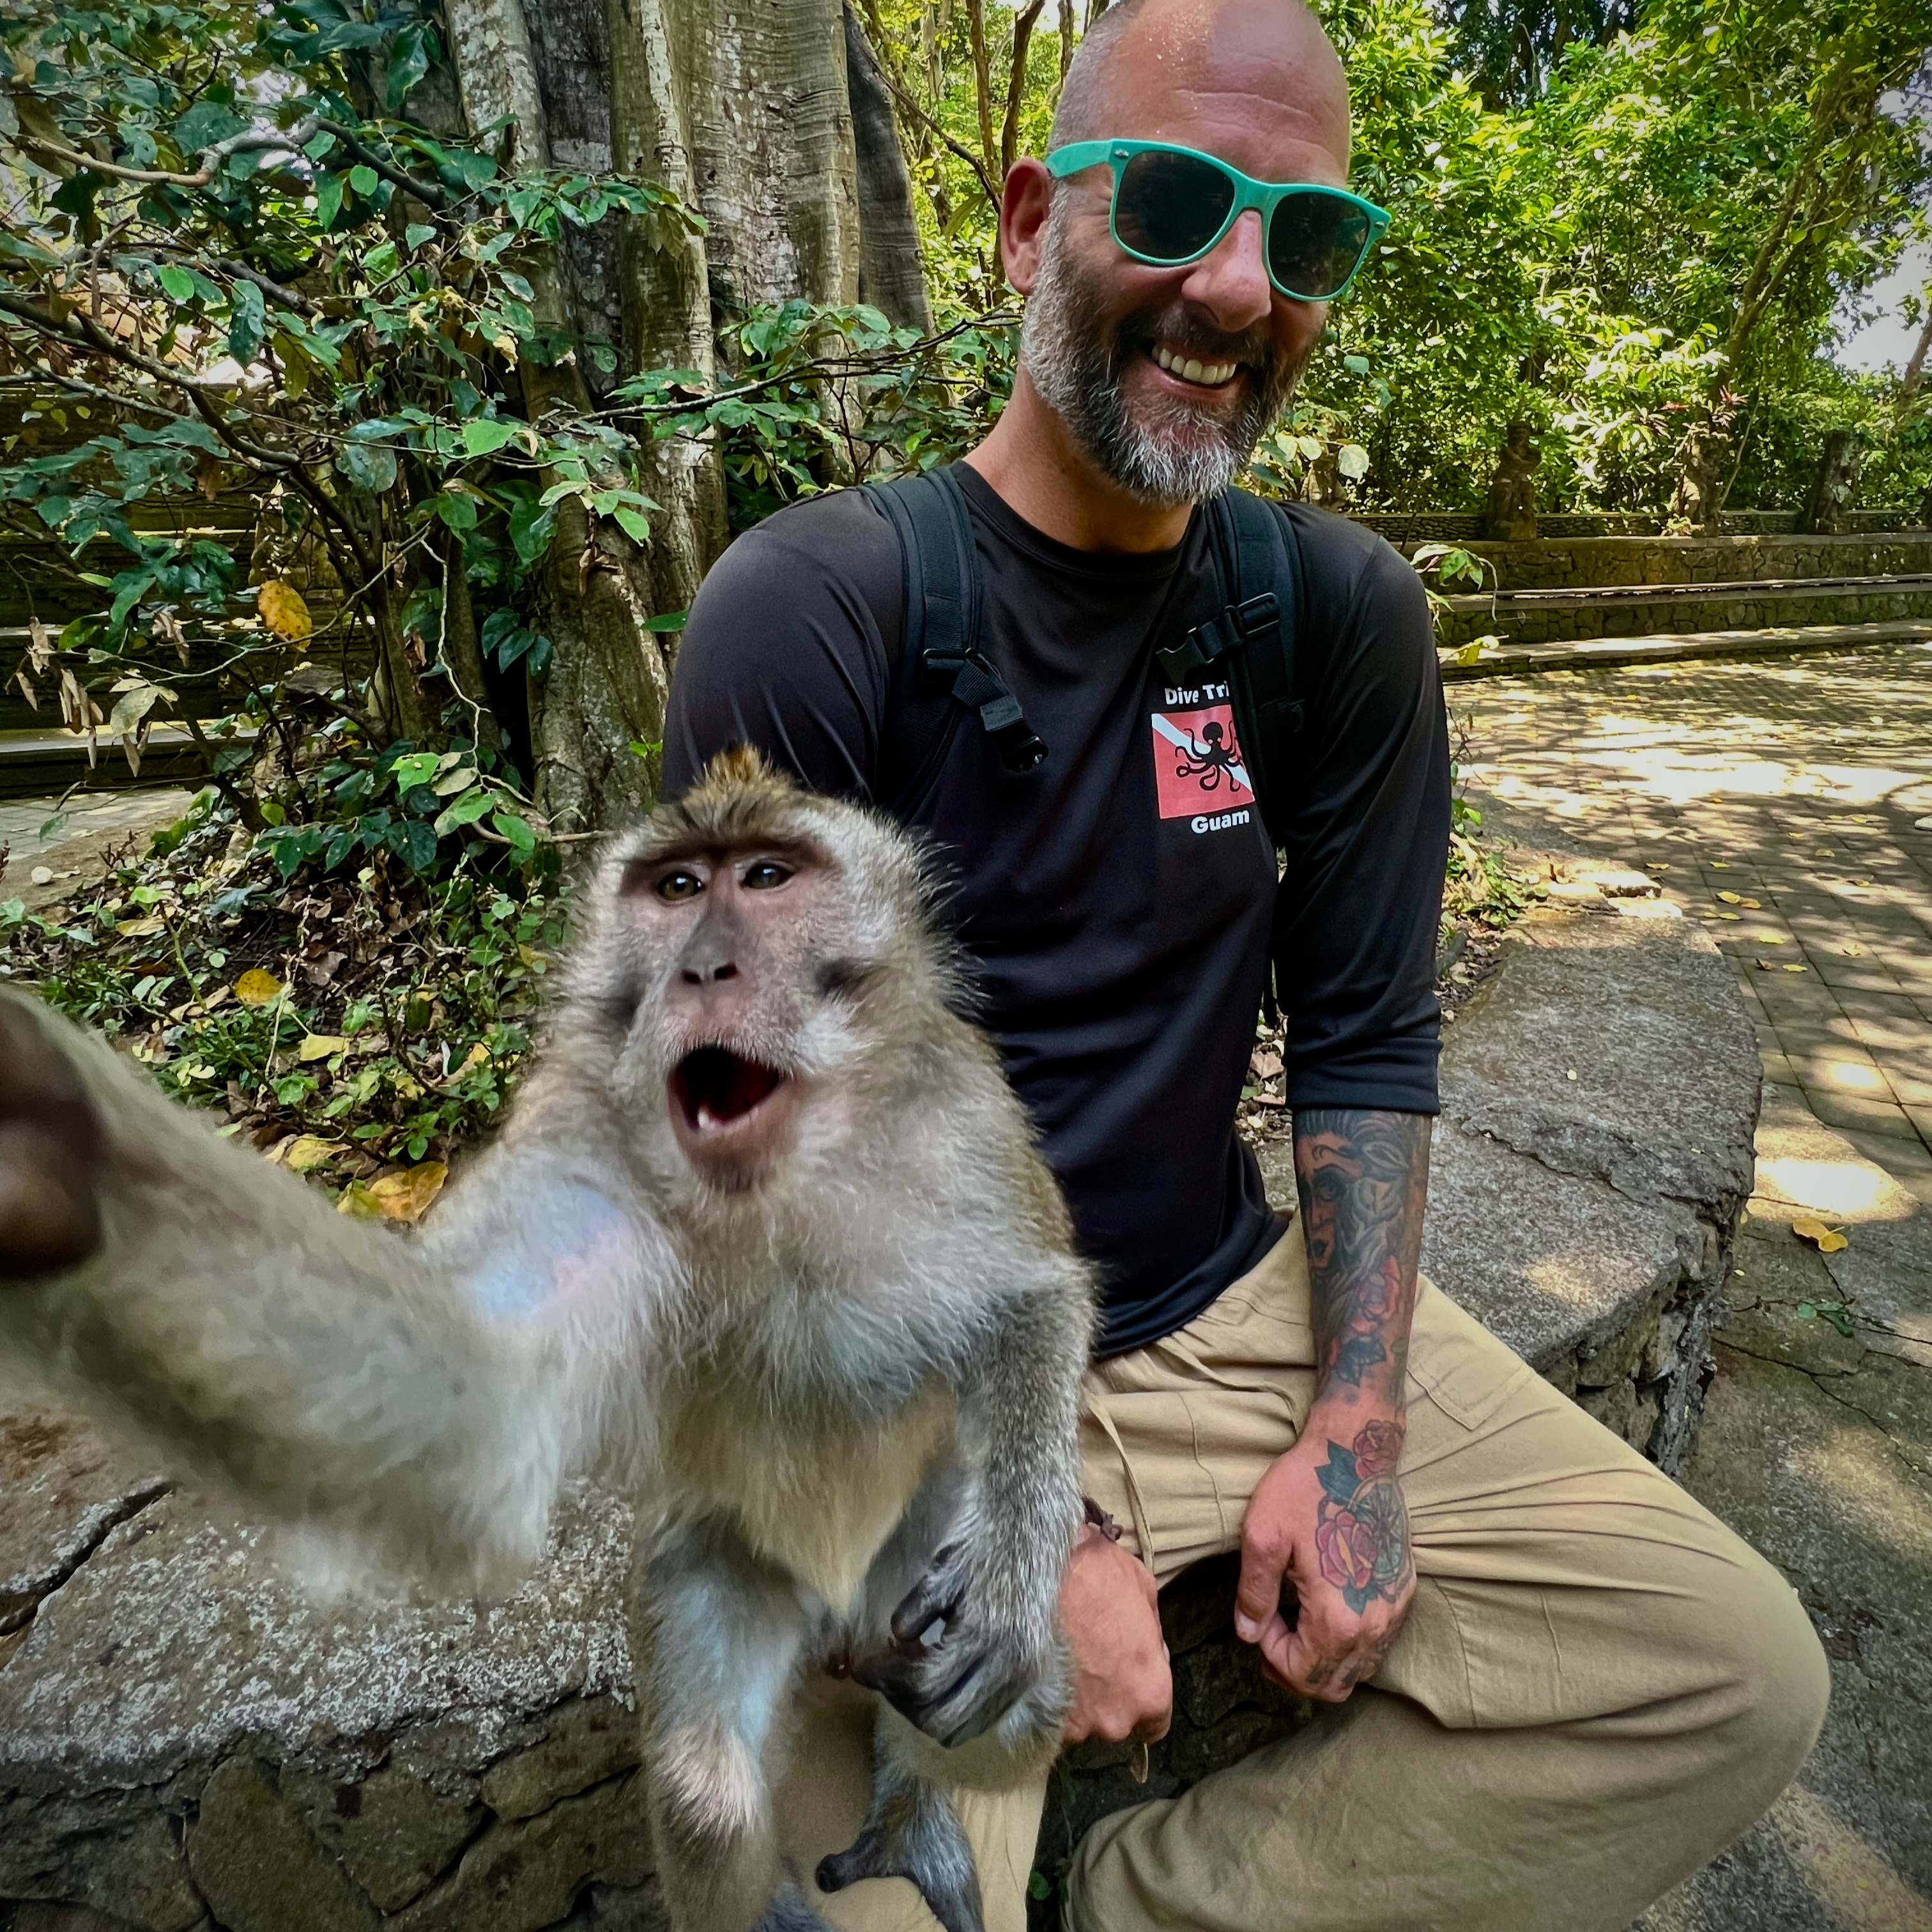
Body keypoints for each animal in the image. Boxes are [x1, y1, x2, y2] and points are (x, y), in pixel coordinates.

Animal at [0, 746, 1096, 1932]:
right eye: (675, 888)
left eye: (766, 876)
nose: (702, 967)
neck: (780, 1179)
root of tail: (840, 1618)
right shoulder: (579, 1139)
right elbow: (477, 1388)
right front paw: (63, 1151)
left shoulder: (961, 1110)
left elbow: (1031, 1300)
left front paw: (1012, 1570)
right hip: (722, 1564)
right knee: (704, 1792)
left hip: (904, 1576)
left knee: (1019, 1708)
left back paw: (909, 1801)